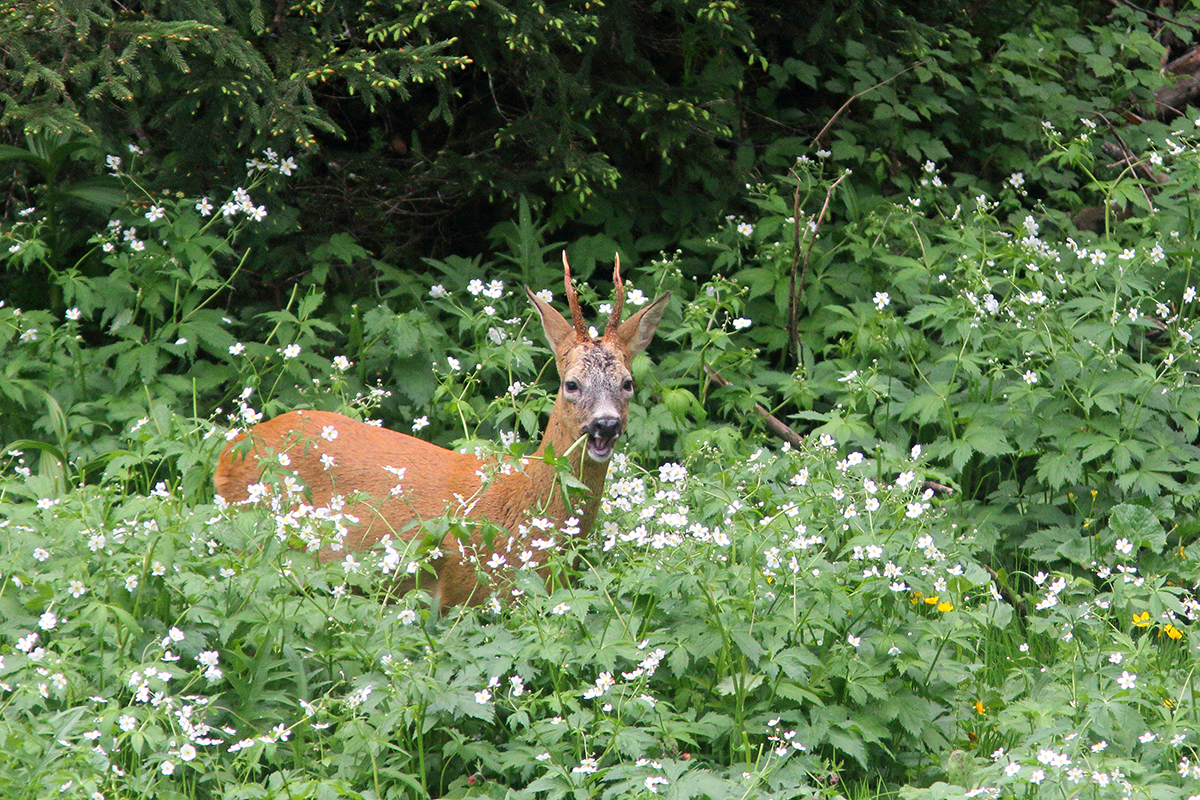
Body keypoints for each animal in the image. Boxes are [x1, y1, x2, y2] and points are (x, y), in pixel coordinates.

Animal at [216, 256, 667, 606]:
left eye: (628, 382)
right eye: (571, 384)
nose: (605, 424)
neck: (522, 505)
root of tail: (228, 453)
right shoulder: (463, 595)